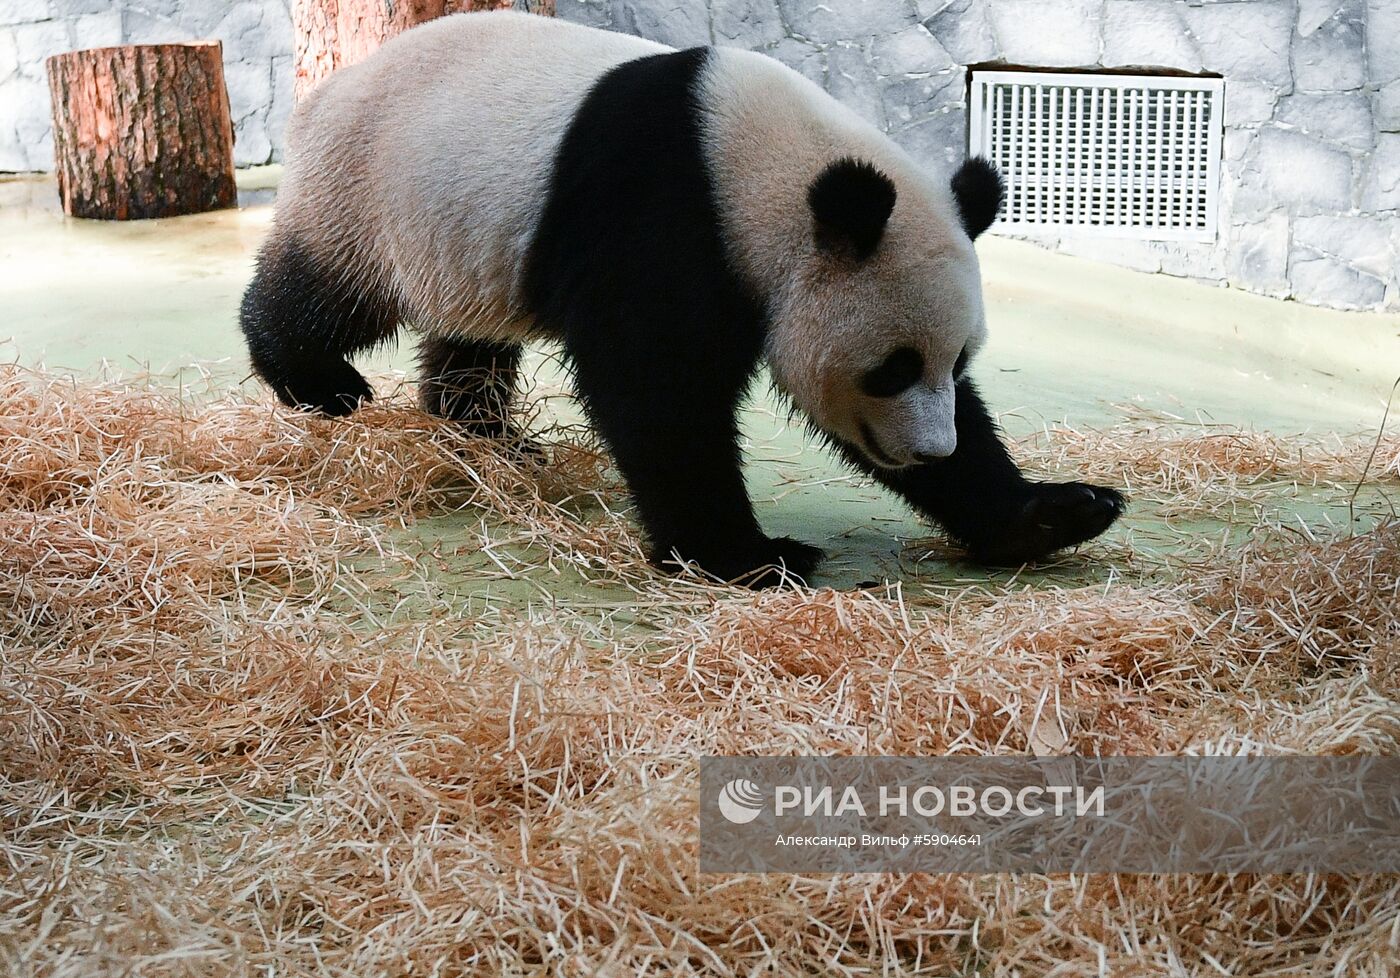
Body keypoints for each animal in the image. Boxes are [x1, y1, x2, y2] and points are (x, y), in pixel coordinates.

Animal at [243, 11, 1125, 584]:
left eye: (957, 359)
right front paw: (748, 556)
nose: (929, 451)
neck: (765, 173)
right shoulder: (664, 214)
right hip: (370, 188)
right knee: (326, 294)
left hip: (459, 234)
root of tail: (327, 91)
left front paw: (1058, 511)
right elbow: (657, 392)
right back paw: (319, 384)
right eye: (891, 370)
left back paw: (489, 439)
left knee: (469, 332)